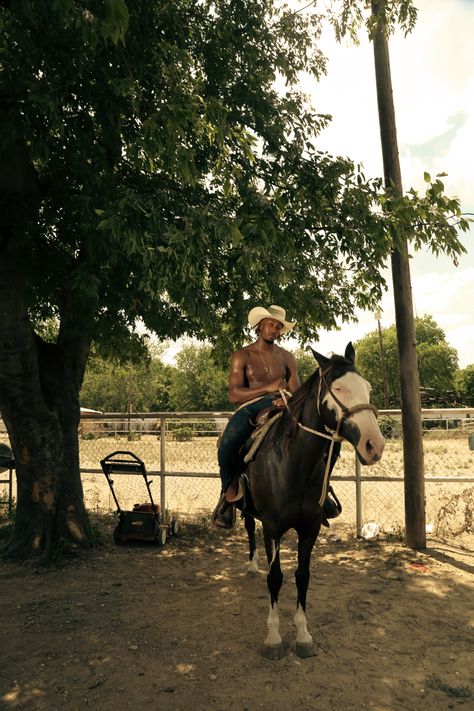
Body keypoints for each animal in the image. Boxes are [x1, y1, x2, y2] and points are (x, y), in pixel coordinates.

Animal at [241, 342, 386, 660]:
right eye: (339, 388)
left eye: (368, 387)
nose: (375, 445)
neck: (293, 465)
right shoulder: (272, 528)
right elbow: (275, 577)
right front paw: (273, 638)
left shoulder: (310, 529)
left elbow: (302, 576)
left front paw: (303, 635)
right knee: (248, 529)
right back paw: (252, 567)